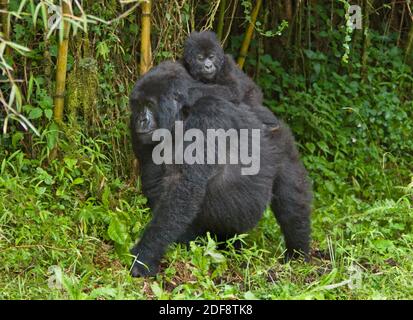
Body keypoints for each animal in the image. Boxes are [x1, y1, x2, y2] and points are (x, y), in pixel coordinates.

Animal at [127, 61, 310, 276]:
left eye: (149, 104)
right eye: (137, 104)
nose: (140, 120)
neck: (182, 116)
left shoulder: (209, 116)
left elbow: (184, 187)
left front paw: (145, 255)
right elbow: (158, 184)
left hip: (282, 142)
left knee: (292, 200)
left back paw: (297, 252)